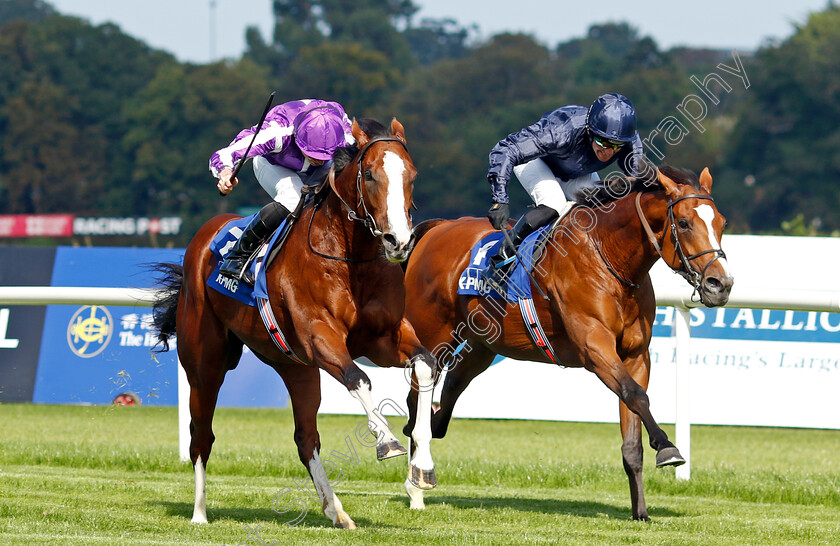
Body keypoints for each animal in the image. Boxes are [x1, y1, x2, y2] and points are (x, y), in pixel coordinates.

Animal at [153, 116, 440, 528]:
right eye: (369, 174)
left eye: (412, 175)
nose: (398, 241)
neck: (349, 258)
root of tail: (205, 235)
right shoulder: (319, 337)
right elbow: (359, 379)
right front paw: (386, 440)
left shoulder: (384, 339)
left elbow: (426, 366)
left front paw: (422, 467)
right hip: (205, 362)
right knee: (201, 435)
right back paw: (199, 513)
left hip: (295, 367)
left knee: (306, 438)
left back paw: (337, 511)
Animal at [402, 165, 736, 520]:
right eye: (684, 223)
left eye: (721, 223)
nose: (721, 284)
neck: (610, 257)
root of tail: (438, 227)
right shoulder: (594, 348)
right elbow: (636, 395)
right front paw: (667, 447)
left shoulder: (635, 356)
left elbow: (632, 423)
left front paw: (641, 511)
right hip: (434, 337)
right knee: (416, 396)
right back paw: (416, 481)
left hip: (481, 346)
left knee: (448, 394)